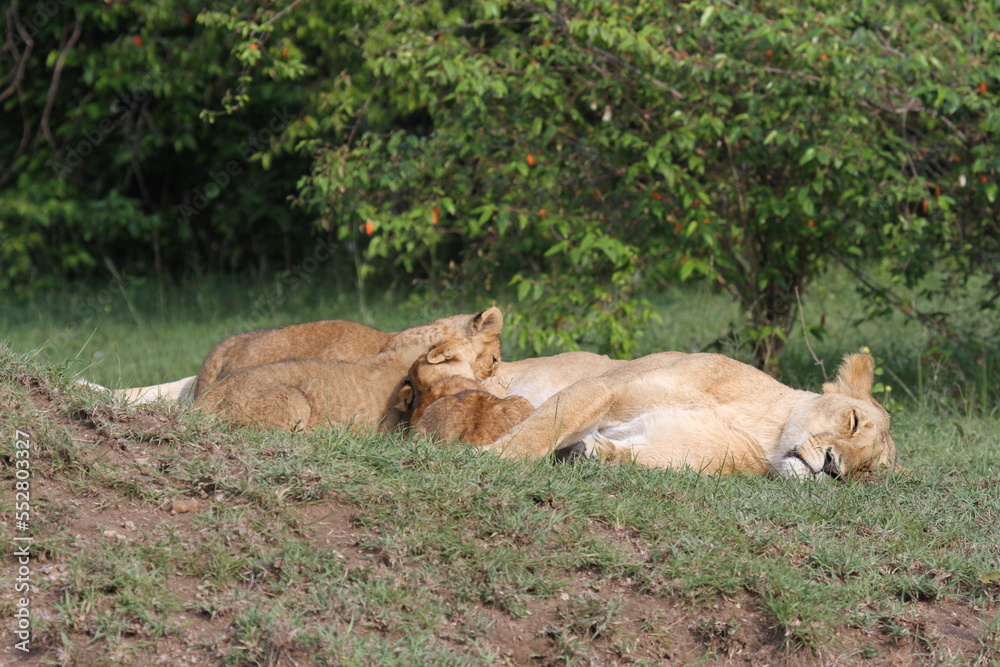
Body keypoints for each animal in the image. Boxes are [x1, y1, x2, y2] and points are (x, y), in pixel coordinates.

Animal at [483, 352, 898, 479]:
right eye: (852, 421)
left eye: (864, 469)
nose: (833, 468)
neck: (766, 430)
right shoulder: (608, 387)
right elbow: (542, 427)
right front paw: (491, 458)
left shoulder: (680, 444)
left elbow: (643, 455)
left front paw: (595, 453)